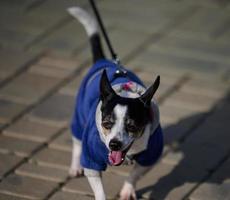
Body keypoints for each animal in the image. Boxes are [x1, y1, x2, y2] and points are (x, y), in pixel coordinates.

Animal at [67, 7, 163, 200]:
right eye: (106, 124)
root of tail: (102, 60)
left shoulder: (150, 156)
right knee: (77, 142)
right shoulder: (92, 162)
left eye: (132, 126)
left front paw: (127, 191)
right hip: (80, 116)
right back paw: (75, 167)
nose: (114, 144)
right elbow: (99, 190)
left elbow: (135, 174)